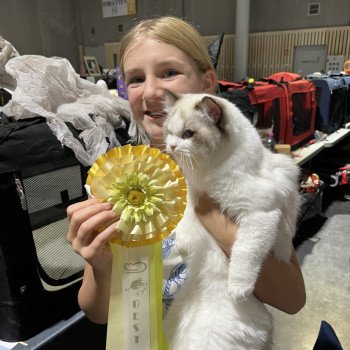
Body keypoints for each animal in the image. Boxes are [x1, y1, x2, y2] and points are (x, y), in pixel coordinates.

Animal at [161, 91, 300, 348]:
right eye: (169, 132)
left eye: (188, 134)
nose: (171, 146)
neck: (208, 175)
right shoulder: (194, 192)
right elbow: (187, 215)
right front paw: (182, 241)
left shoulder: (259, 214)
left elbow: (245, 255)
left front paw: (239, 288)